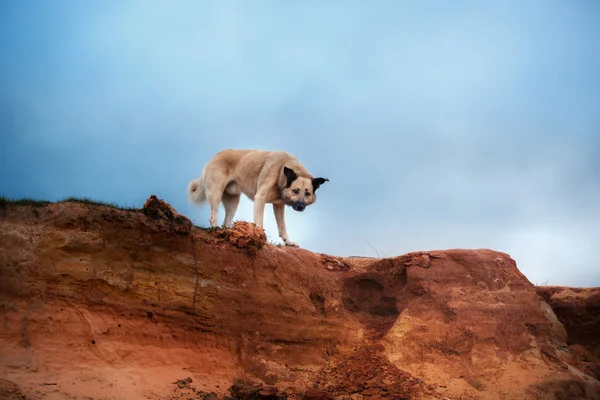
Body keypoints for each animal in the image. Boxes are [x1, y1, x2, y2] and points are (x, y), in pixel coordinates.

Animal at [188, 148, 328, 245]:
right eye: (295, 190)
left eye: (307, 193)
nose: (300, 207)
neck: (281, 173)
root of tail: (215, 156)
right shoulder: (260, 199)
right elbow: (260, 224)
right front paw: (262, 240)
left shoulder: (278, 205)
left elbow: (282, 227)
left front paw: (288, 242)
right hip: (216, 194)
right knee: (213, 218)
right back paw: (216, 232)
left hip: (233, 201)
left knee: (225, 223)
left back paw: (227, 235)